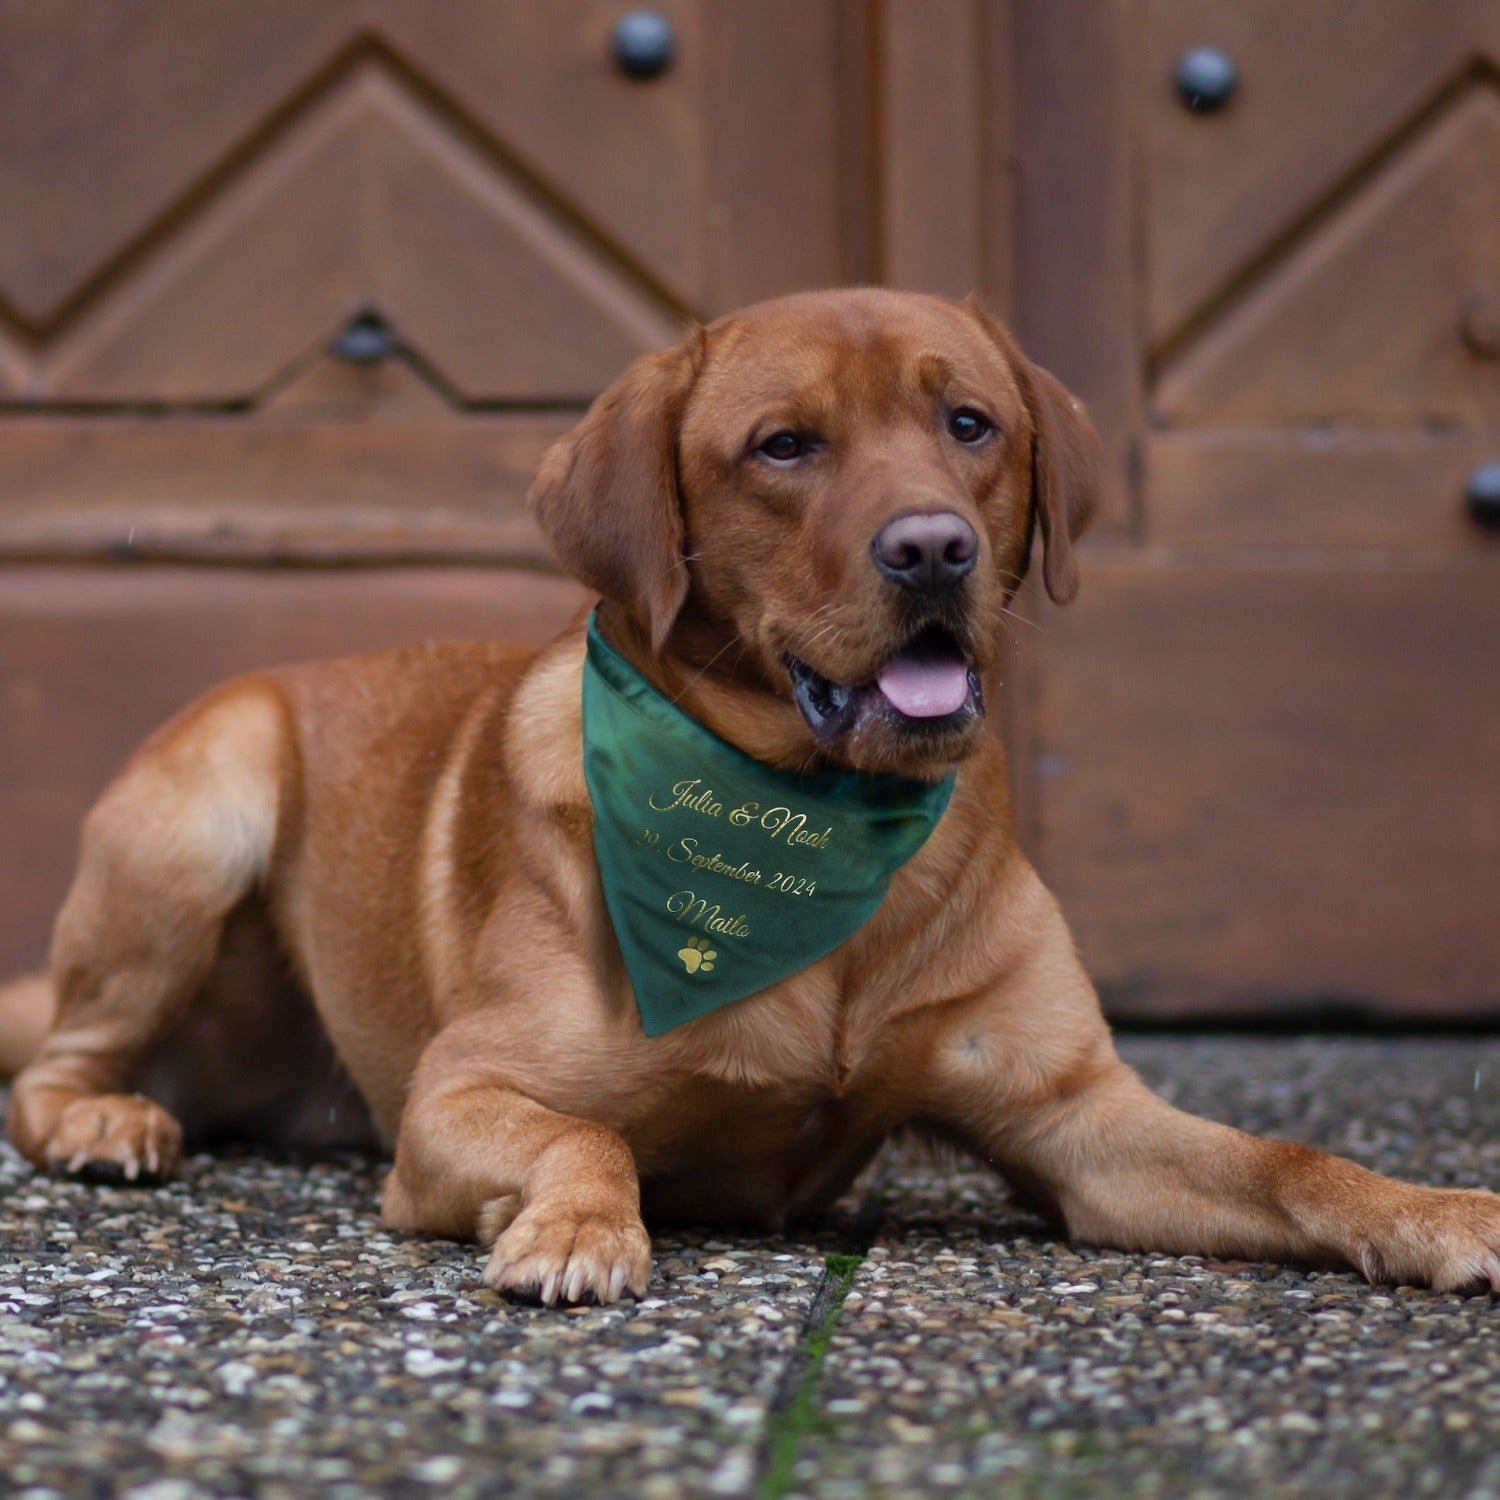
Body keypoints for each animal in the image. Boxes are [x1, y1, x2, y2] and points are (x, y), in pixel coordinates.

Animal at [2, 289, 1500, 1302]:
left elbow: (1289, 1161)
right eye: (784, 447)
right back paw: (105, 1119)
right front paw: (576, 1225)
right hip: (206, 810)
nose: (933, 549)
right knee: (59, 1060)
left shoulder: (1079, 1118)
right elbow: (586, 1136)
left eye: (971, 424)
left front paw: (1435, 1209)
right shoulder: (454, 1099)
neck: (823, 821)